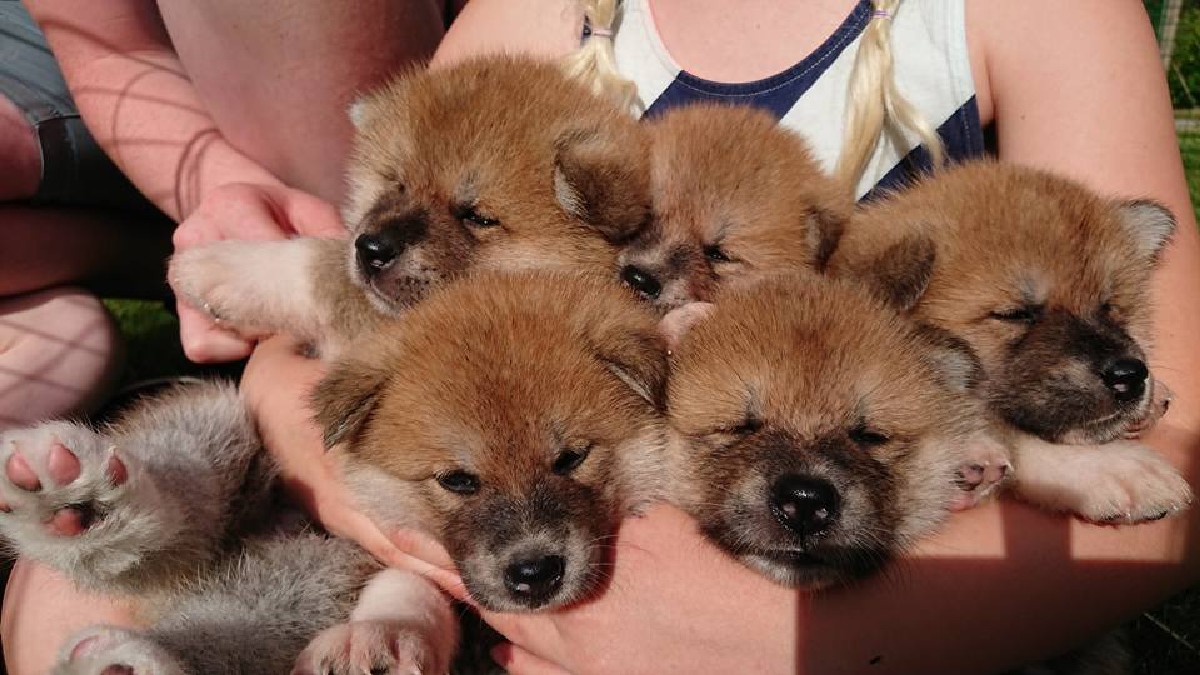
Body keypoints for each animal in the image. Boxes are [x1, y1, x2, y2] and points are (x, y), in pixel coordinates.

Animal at [0, 271, 667, 674]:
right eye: (458, 481)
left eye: (572, 458)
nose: (535, 573)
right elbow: (415, 587)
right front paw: (380, 636)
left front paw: (382, 640)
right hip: (227, 430)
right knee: (181, 490)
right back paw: (78, 507)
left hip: (300, 584)